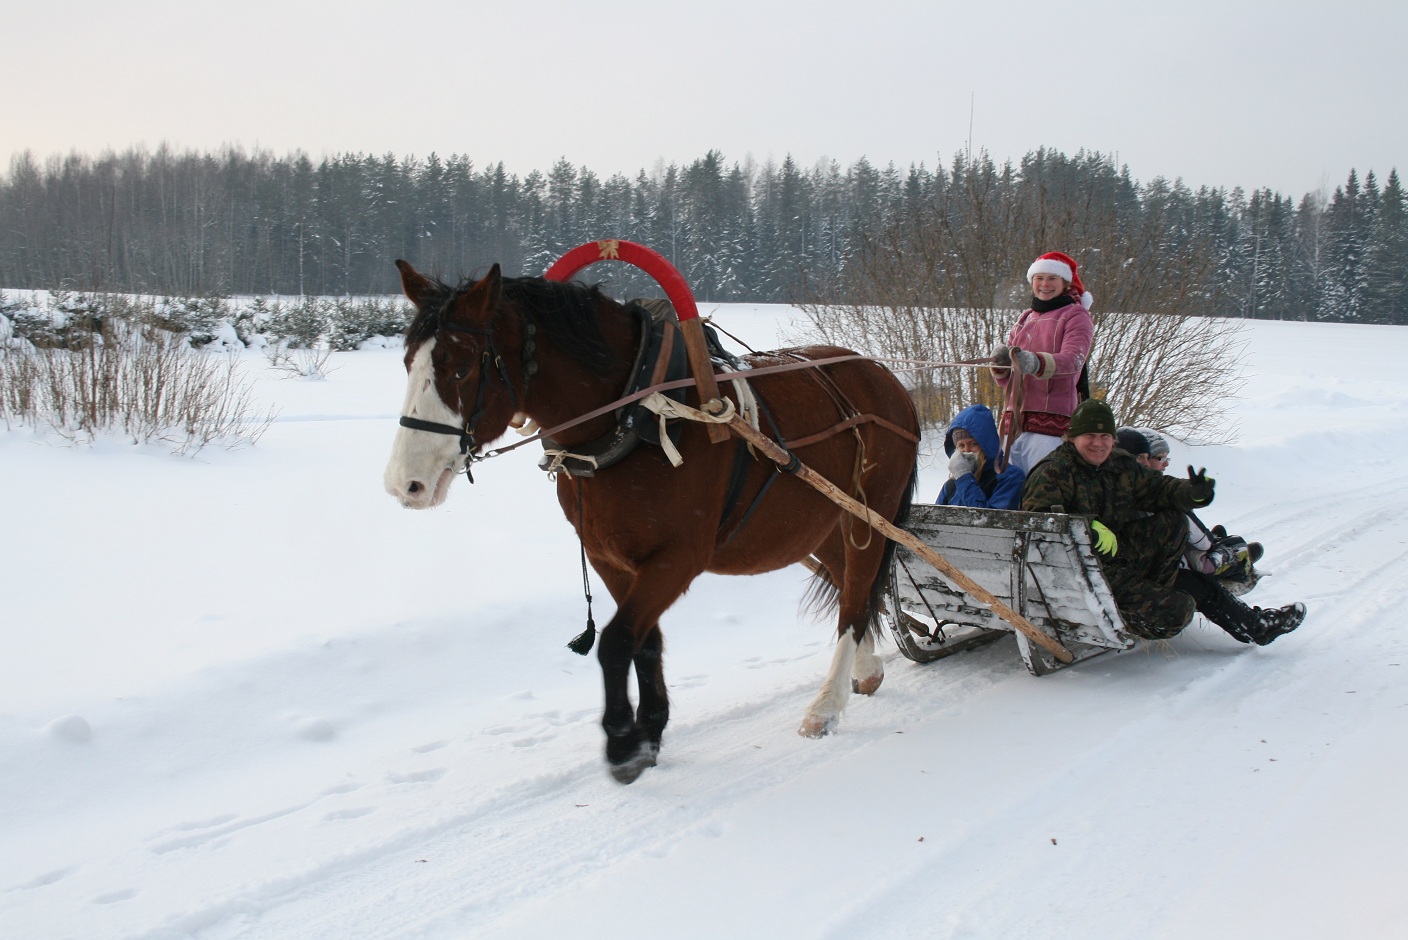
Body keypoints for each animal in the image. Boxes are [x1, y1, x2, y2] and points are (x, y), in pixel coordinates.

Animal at [380, 260, 918, 782]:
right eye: (408, 363)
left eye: (460, 368)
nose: (404, 483)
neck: (635, 417)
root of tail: (886, 378)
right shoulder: (613, 560)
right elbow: (646, 643)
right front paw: (650, 731)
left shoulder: (678, 557)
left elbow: (617, 642)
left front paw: (622, 743)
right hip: (824, 521)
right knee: (850, 585)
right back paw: (865, 668)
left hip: (868, 517)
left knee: (855, 597)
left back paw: (825, 706)